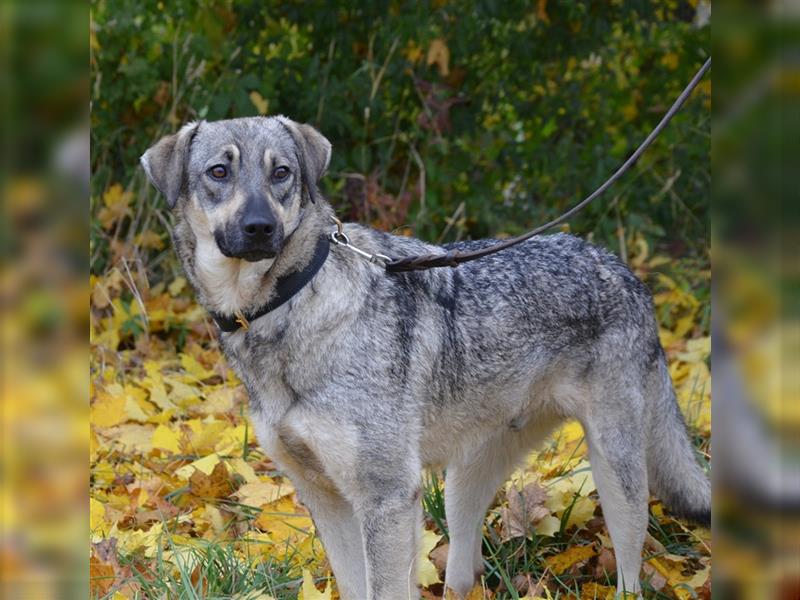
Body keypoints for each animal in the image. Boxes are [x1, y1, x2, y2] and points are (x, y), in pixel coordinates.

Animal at [142, 117, 712, 600]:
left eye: (280, 173)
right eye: (219, 172)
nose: (260, 227)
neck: (290, 305)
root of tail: (625, 269)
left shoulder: (387, 498)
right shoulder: (326, 499)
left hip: (617, 475)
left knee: (630, 569)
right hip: (466, 482)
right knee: (462, 570)